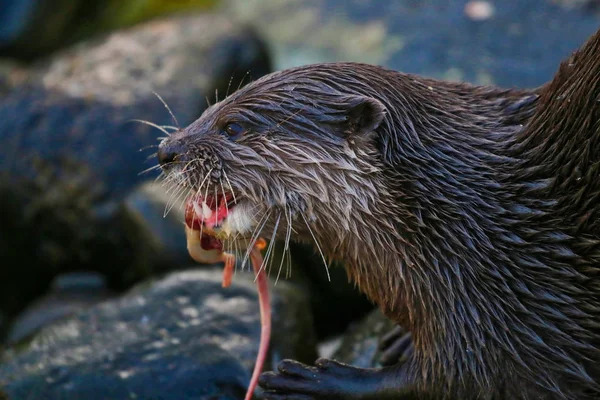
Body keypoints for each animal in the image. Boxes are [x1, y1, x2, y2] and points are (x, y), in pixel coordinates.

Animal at [158, 26, 600, 398]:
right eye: (209, 108)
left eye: (232, 127)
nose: (166, 151)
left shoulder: (512, 307)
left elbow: (454, 377)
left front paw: (320, 381)